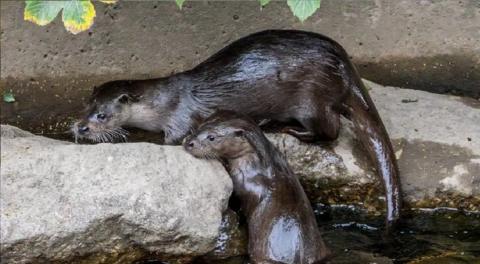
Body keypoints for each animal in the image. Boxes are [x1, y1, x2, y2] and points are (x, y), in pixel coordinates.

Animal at [71, 29, 402, 229]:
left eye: (102, 115)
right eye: (85, 107)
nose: (82, 128)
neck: (164, 101)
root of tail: (343, 62)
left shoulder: (180, 119)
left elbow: (171, 140)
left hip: (312, 99)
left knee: (330, 129)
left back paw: (284, 127)